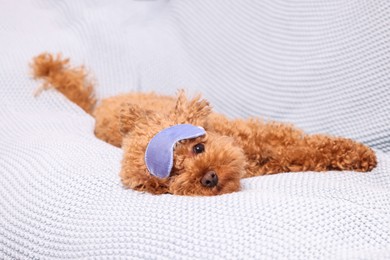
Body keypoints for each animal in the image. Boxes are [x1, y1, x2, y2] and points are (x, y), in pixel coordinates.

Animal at [31, 52, 378, 195]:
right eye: (172, 174)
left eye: (198, 147)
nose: (209, 178)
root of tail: (98, 108)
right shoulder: (279, 160)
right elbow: (301, 153)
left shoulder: (266, 134)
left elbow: (309, 142)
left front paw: (360, 154)